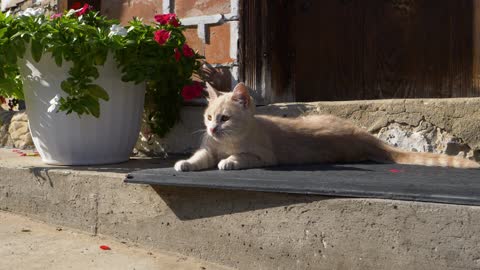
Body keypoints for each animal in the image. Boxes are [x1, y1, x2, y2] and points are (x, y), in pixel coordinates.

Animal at [173, 82, 480, 171]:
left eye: (224, 118)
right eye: (208, 118)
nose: (212, 129)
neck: (226, 142)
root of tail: (363, 136)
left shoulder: (264, 156)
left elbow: (241, 156)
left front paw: (229, 161)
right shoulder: (209, 149)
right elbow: (200, 156)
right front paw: (185, 164)